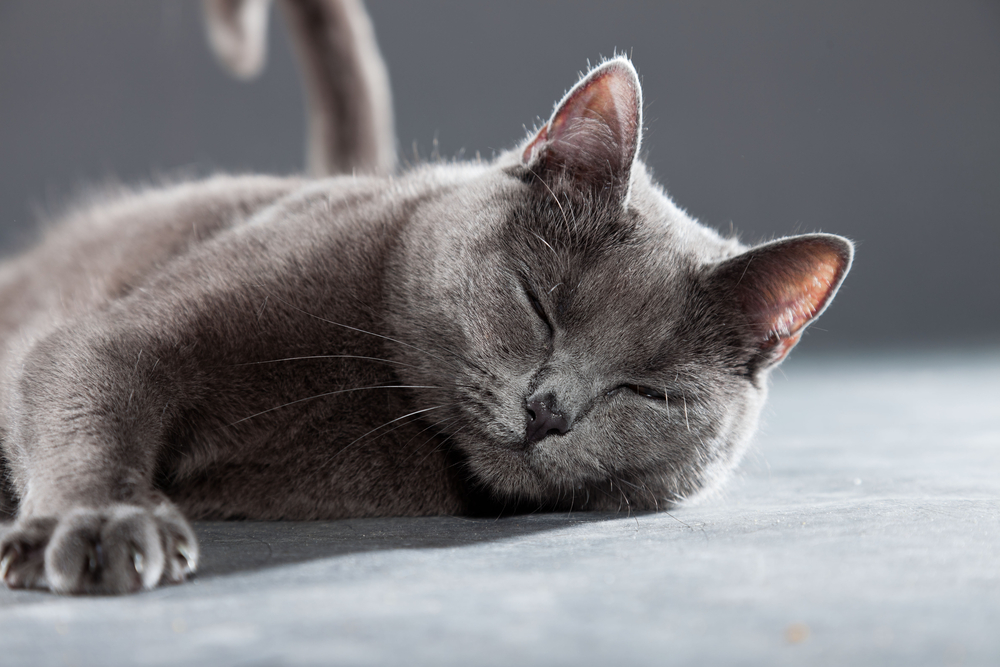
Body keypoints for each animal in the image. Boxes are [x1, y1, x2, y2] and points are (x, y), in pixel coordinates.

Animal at [0, 0, 852, 596]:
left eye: (649, 391)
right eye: (537, 304)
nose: (549, 410)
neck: (373, 406)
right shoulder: (119, 337)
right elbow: (92, 393)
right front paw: (99, 522)